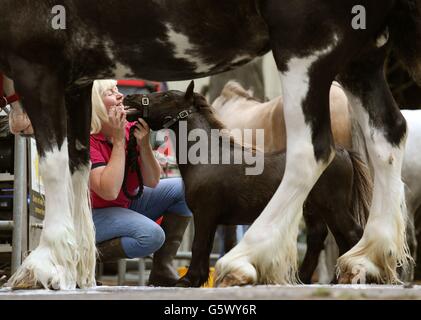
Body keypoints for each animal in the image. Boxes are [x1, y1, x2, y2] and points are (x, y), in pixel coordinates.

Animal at [122, 82, 370, 284]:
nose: (129, 98)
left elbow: (200, 246)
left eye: (165, 96)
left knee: (352, 234)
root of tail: (342, 152)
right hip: (319, 210)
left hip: (333, 207)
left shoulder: (205, 214)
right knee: (330, 240)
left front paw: (188, 281)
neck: (209, 157)